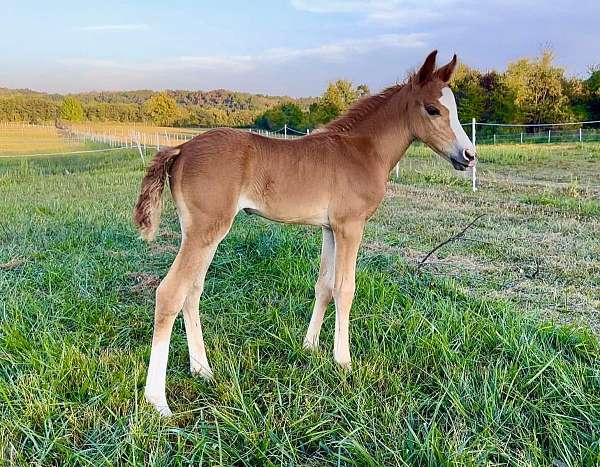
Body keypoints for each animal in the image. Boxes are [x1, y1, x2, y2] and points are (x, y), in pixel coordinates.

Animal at [134, 50, 476, 416]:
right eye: (433, 109)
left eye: (454, 109)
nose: (469, 155)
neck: (361, 150)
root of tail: (180, 149)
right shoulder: (350, 226)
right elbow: (345, 288)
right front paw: (343, 362)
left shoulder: (330, 228)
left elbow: (324, 286)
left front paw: (309, 347)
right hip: (205, 231)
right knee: (170, 293)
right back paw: (157, 401)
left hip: (202, 233)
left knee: (192, 291)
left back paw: (203, 370)